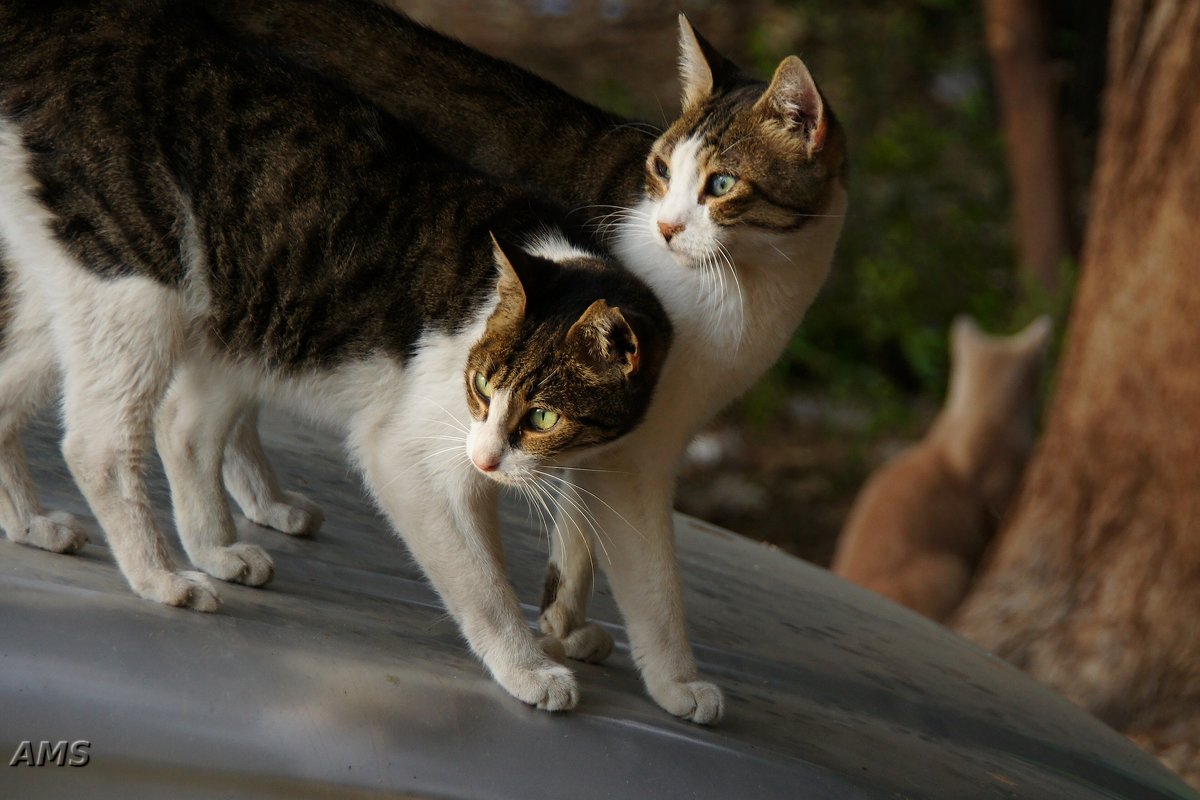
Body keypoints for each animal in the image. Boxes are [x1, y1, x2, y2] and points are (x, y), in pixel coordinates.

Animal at [0, 1, 667, 714]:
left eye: (543, 417)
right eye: (484, 385)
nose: (488, 460)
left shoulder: (240, 344)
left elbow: (187, 431)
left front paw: (214, 544)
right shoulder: (409, 453)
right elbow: (482, 580)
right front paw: (528, 668)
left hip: (99, 290)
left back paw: (39, 525)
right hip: (138, 281)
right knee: (96, 445)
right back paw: (160, 578)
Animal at [196, 0, 849, 724]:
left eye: (722, 184)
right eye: (658, 171)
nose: (667, 228)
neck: (754, 287)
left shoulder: (601, 430)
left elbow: (578, 533)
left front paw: (563, 626)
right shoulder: (637, 447)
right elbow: (653, 575)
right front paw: (674, 678)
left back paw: (262, 500)